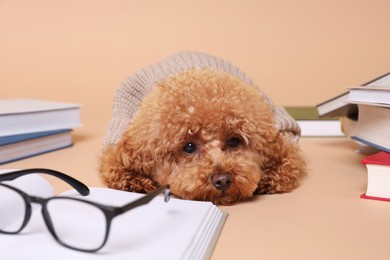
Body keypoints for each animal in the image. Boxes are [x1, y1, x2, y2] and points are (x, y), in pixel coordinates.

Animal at [99, 51, 306, 205]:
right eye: (189, 147)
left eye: (234, 141)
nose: (222, 180)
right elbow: (114, 167)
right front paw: (137, 182)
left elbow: (290, 163)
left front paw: (268, 177)